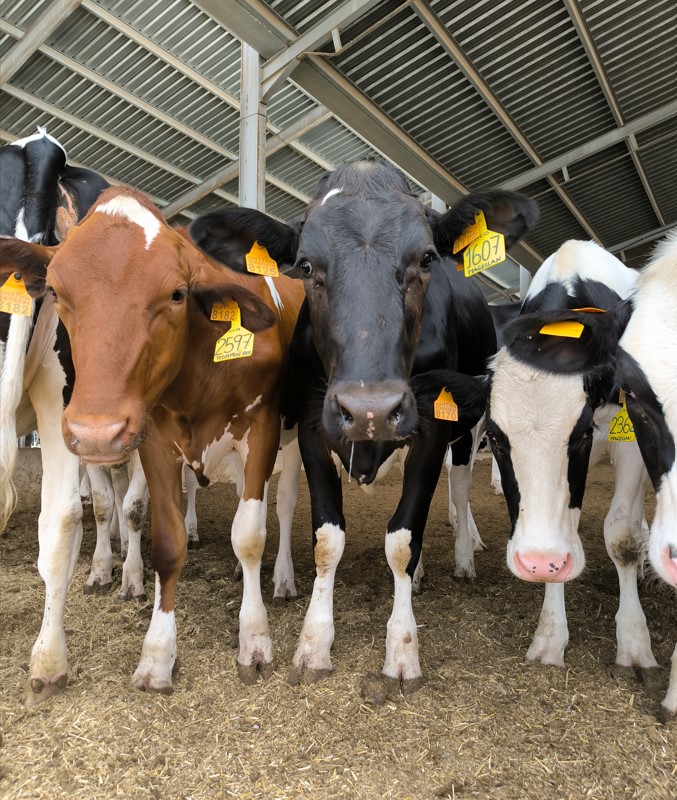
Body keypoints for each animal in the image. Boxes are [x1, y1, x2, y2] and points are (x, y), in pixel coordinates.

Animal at [0, 185, 305, 699]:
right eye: (56, 293)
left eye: (177, 293)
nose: (96, 431)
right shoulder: (156, 443)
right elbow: (165, 542)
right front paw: (158, 653)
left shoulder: (261, 430)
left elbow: (248, 537)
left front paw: (255, 639)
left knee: (282, 506)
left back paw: (283, 579)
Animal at [190, 156, 538, 697]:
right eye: (306, 266)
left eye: (427, 258)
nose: (369, 409)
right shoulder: (314, 423)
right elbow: (327, 539)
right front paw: (314, 643)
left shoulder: (431, 429)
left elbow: (404, 538)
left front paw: (401, 651)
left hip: (466, 427)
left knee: (458, 489)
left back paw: (464, 556)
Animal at [498, 231, 677, 720]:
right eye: (498, 441)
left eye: (578, 436)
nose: (536, 561)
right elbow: (567, 527)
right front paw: (549, 636)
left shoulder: (633, 436)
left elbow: (623, 536)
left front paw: (634, 646)